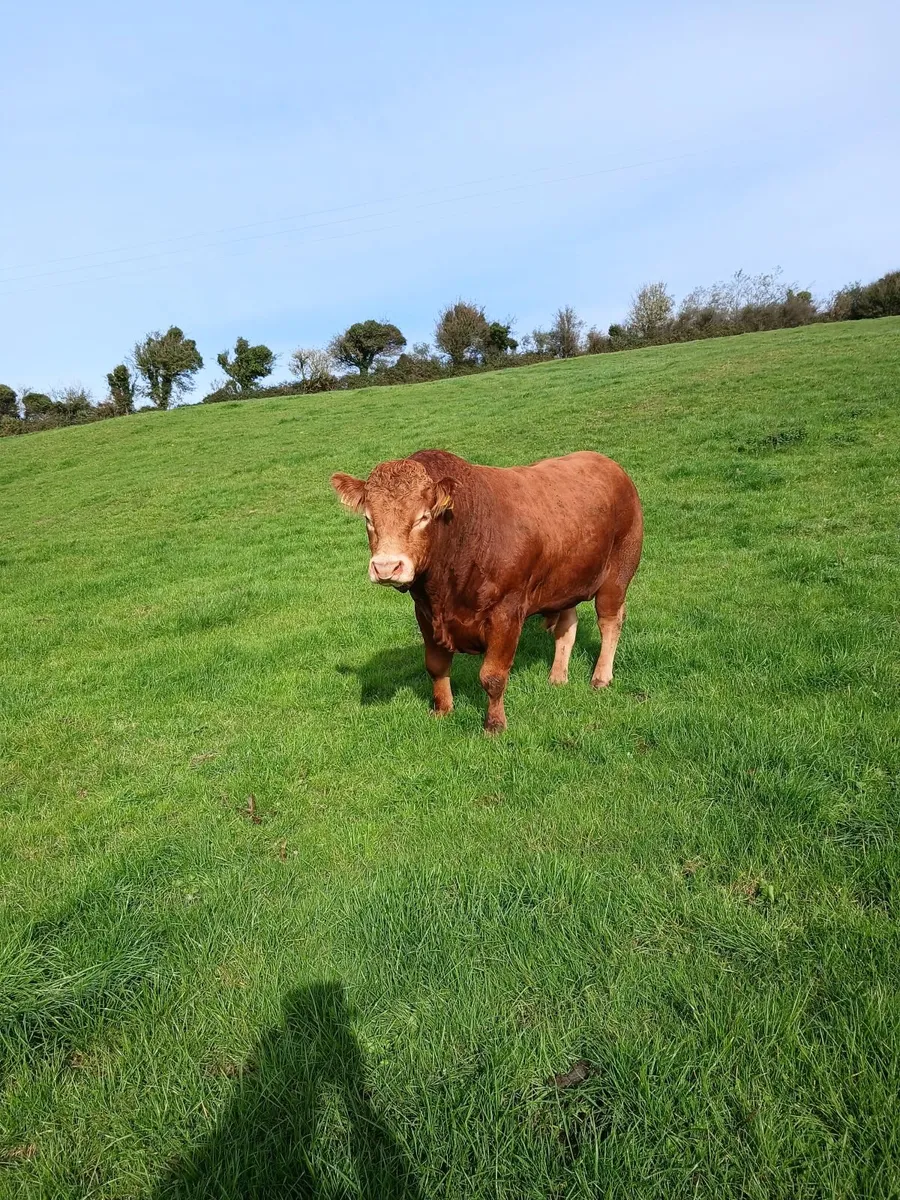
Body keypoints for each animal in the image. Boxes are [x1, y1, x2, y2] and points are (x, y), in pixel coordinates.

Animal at [331, 449, 643, 733]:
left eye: (423, 517)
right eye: (369, 519)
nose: (386, 567)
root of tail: (606, 462)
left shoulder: (506, 613)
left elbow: (492, 675)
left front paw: (494, 725)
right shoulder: (425, 613)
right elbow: (436, 665)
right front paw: (443, 710)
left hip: (617, 574)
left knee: (610, 621)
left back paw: (601, 677)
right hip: (566, 581)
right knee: (567, 625)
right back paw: (557, 677)